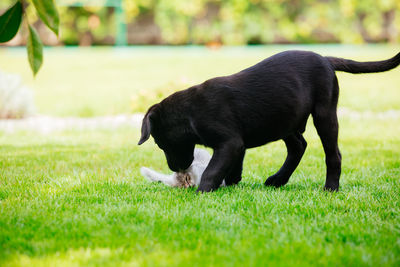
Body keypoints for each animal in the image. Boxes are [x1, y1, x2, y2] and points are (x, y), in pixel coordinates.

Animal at [138, 50, 400, 193]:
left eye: (161, 144)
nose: (175, 169)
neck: (190, 111)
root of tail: (325, 58)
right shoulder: (237, 144)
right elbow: (232, 167)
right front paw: (232, 183)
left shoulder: (229, 142)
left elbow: (213, 170)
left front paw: (203, 191)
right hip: (284, 118)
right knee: (298, 146)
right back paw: (278, 179)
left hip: (324, 114)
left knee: (332, 154)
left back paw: (330, 188)